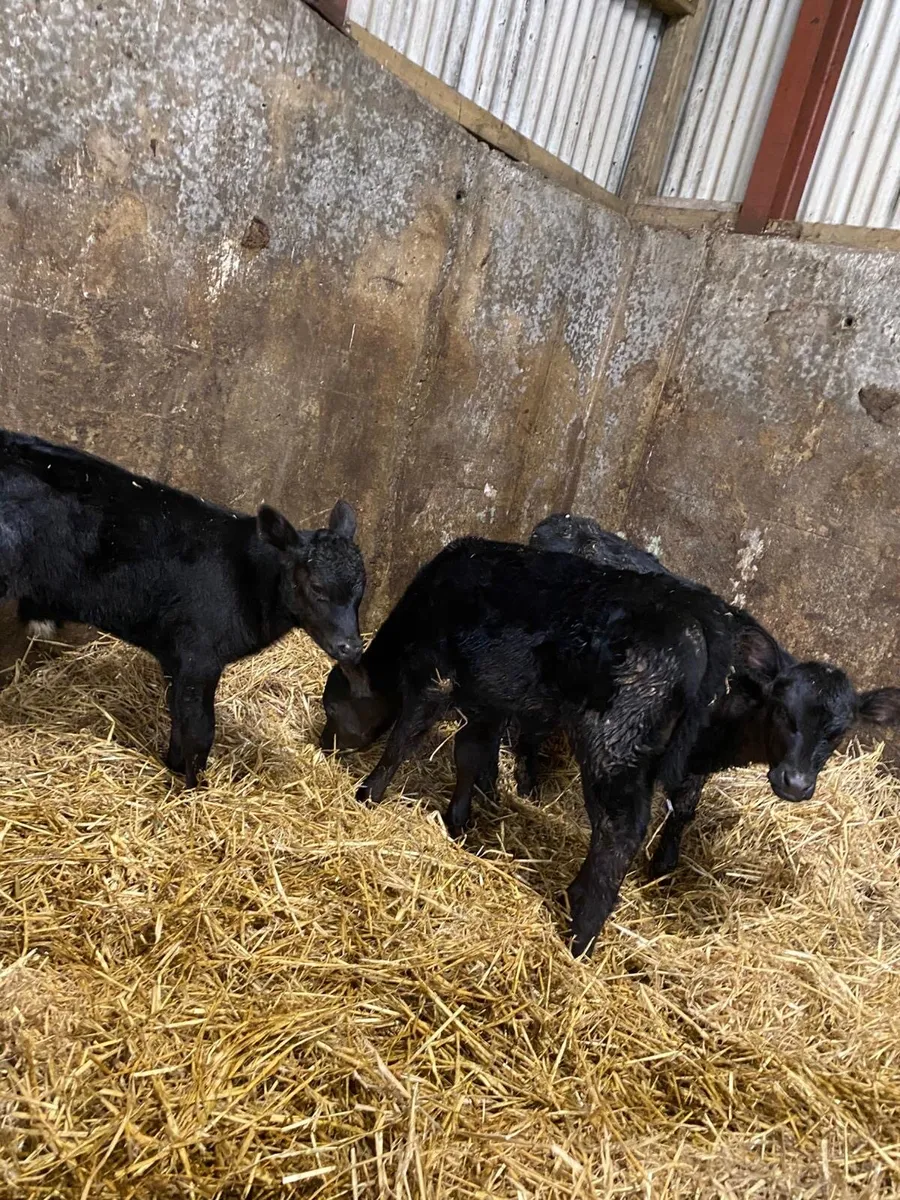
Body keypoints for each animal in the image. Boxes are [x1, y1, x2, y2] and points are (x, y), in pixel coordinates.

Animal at [0, 430, 366, 786]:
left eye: (361, 589)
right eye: (316, 587)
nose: (351, 647)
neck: (247, 576)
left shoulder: (174, 656)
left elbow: (178, 718)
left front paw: (174, 768)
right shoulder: (199, 656)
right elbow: (199, 730)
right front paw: (193, 788)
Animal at [320, 536, 744, 956]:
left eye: (332, 706)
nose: (324, 744)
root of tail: (695, 624)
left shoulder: (436, 676)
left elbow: (403, 739)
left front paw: (367, 793)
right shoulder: (486, 699)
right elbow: (468, 755)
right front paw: (458, 821)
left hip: (614, 741)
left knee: (619, 829)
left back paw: (580, 933)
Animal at [525, 512, 900, 880]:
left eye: (838, 733)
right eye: (783, 712)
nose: (795, 784)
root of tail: (564, 521)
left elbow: (685, 807)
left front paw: (664, 864)